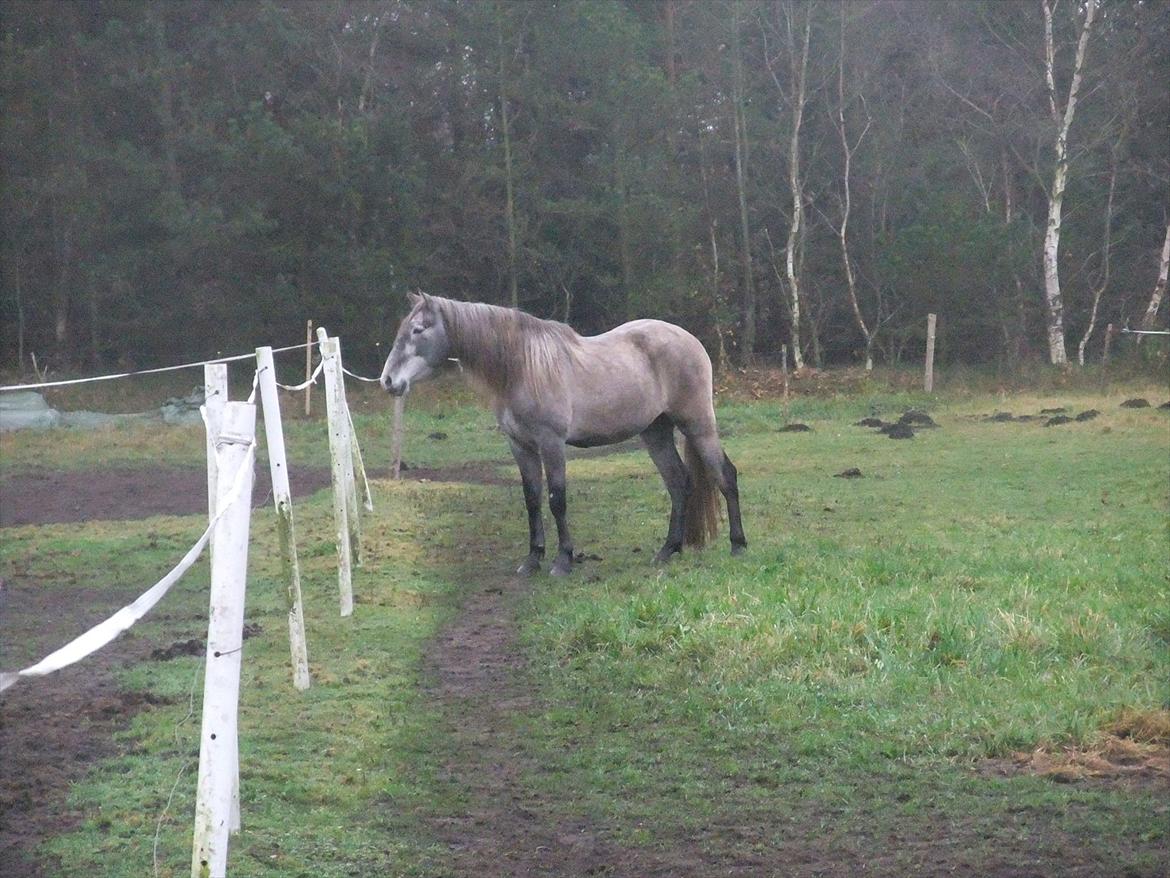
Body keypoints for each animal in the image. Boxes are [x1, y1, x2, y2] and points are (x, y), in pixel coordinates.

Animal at [383, 296, 748, 578]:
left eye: (418, 330)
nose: (388, 381)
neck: (523, 368)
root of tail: (691, 340)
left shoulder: (551, 443)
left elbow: (557, 499)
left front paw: (563, 561)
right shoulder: (520, 446)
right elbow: (531, 499)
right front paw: (532, 559)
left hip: (697, 424)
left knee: (724, 475)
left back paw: (738, 545)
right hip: (655, 432)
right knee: (678, 483)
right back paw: (668, 550)